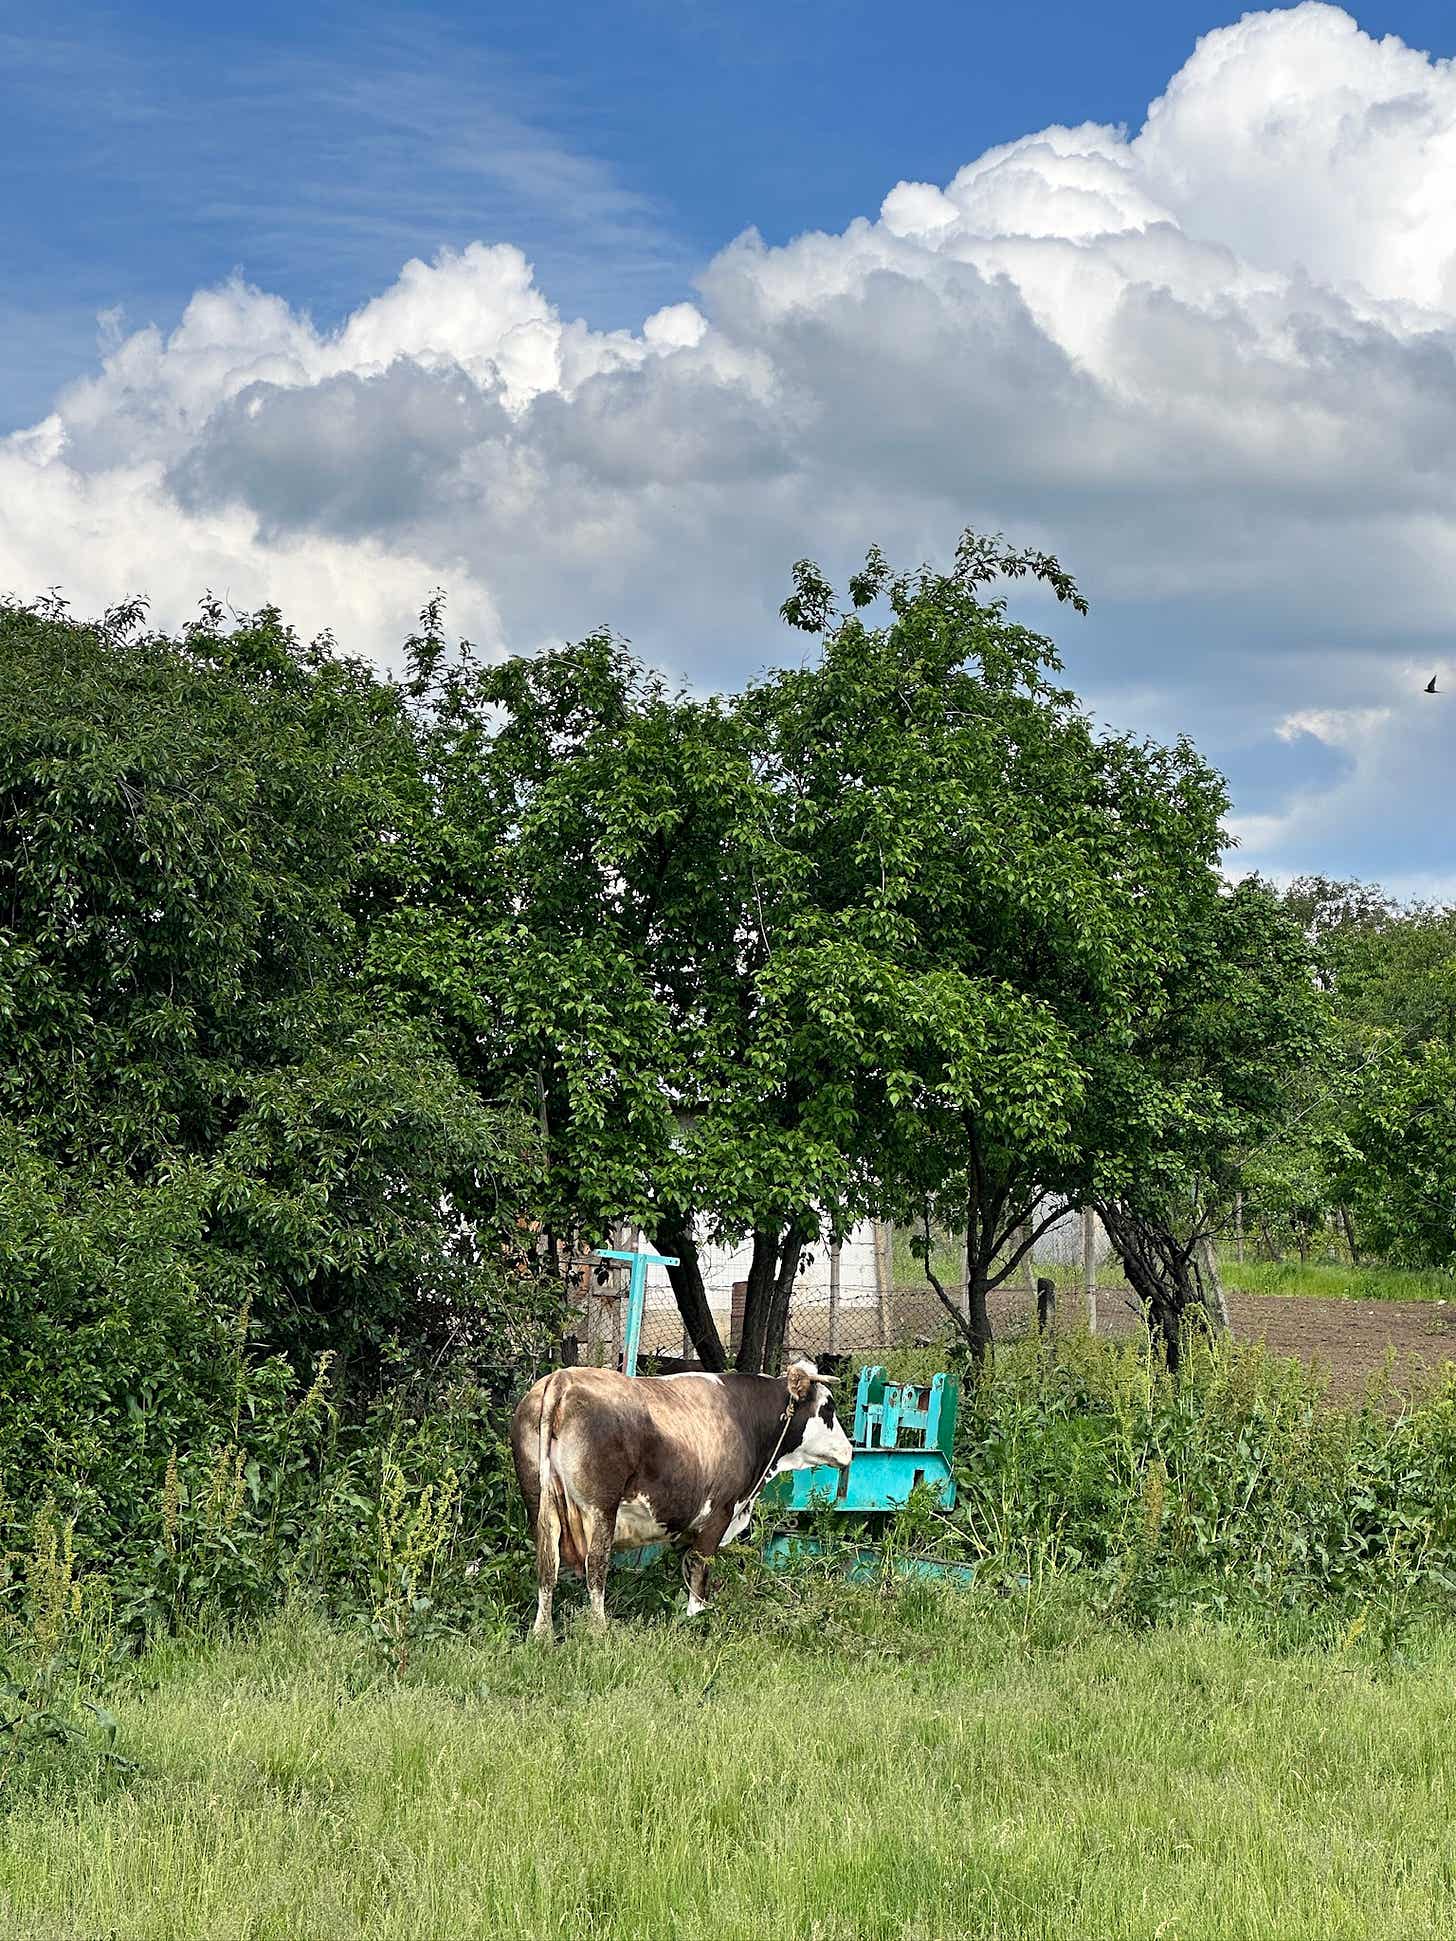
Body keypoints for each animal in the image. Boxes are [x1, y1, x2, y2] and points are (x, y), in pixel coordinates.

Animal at [511, 1356, 854, 1641]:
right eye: (828, 1408)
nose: (850, 1450)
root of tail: (562, 1380)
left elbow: (688, 1569)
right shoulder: (719, 1514)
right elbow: (701, 1569)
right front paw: (697, 1618)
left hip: (539, 1505)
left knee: (547, 1564)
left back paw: (541, 1635)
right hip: (601, 1509)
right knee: (596, 1566)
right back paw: (599, 1630)